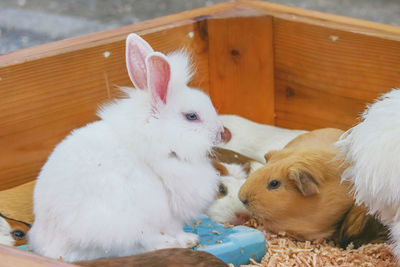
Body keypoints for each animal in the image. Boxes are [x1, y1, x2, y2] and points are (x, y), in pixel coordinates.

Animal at [29, 33, 223, 262]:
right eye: (192, 116)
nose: (220, 132)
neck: (158, 137)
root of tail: (51, 248)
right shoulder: (169, 213)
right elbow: (172, 229)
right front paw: (187, 238)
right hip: (127, 221)